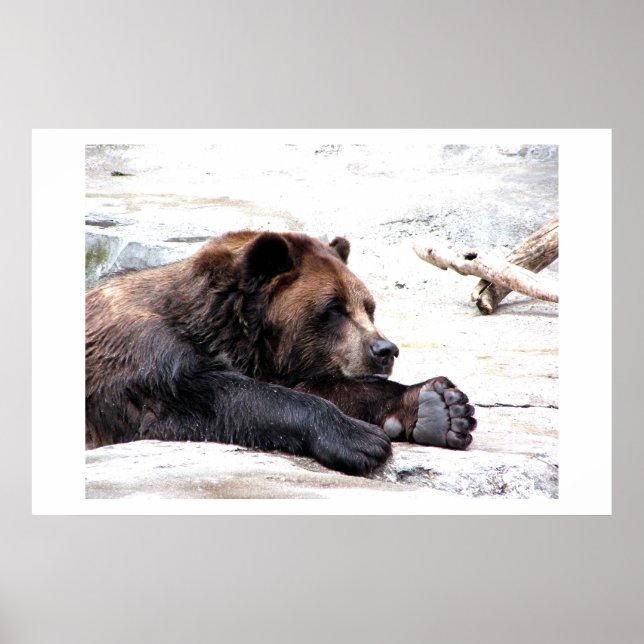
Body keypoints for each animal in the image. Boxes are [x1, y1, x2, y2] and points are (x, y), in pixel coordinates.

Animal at [86, 230, 476, 476]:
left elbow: (326, 387)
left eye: (369, 307)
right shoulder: (143, 355)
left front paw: (442, 407)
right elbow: (211, 397)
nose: (384, 349)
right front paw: (361, 439)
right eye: (335, 308)